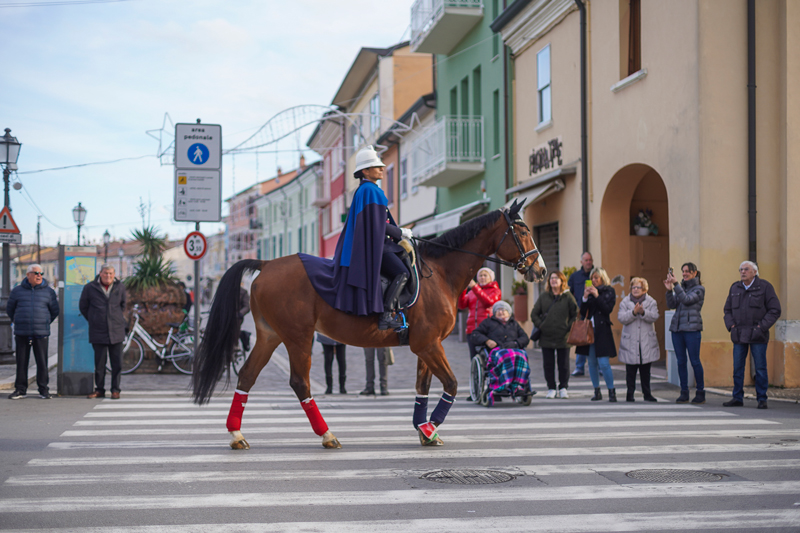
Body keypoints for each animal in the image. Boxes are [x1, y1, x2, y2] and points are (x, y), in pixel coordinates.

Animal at [191, 201, 548, 448]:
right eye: (523, 232)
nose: (541, 270)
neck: (440, 274)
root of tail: (267, 264)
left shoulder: (425, 346)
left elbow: (422, 388)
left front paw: (424, 431)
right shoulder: (429, 344)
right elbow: (451, 384)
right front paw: (430, 428)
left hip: (270, 336)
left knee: (247, 376)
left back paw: (237, 434)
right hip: (298, 338)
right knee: (300, 383)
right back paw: (327, 434)